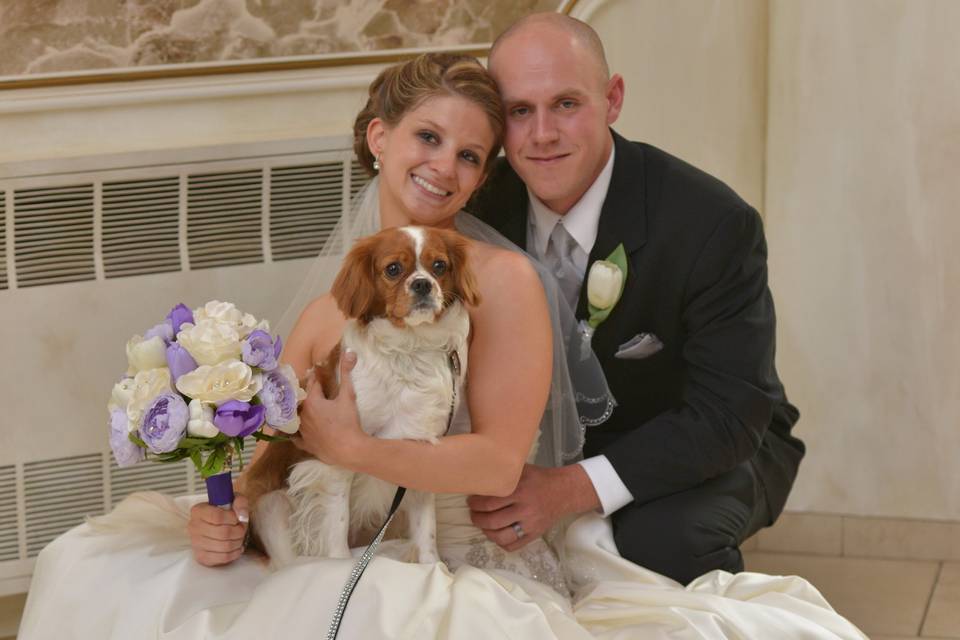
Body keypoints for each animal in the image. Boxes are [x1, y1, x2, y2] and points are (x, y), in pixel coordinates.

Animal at [240, 225, 480, 564]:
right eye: (393, 269)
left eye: (439, 266)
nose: (422, 284)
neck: (410, 349)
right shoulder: (336, 452)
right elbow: (337, 521)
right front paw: (340, 565)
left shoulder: (419, 450)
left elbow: (426, 527)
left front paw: (433, 567)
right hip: (271, 504)